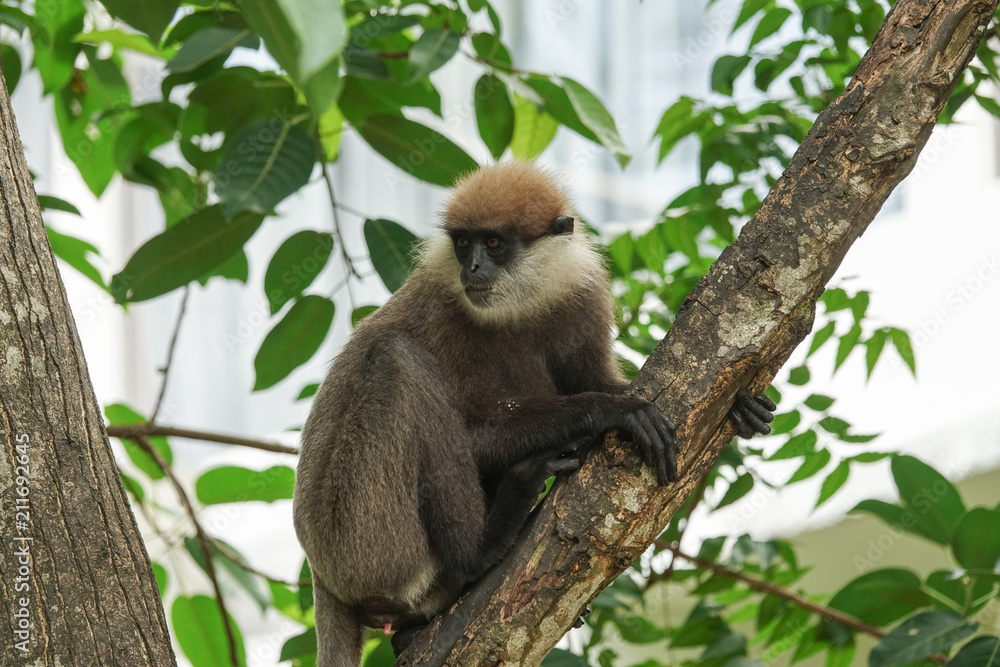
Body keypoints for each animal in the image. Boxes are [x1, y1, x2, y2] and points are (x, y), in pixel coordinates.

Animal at [292, 162, 775, 667]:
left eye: (494, 244)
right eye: (463, 243)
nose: (471, 268)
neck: (516, 306)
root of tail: (323, 578)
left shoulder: (580, 297)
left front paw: (741, 406)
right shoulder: (444, 314)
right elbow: (475, 439)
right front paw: (610, 410)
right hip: (365, 546)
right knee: (398, 358)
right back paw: (481, 548)